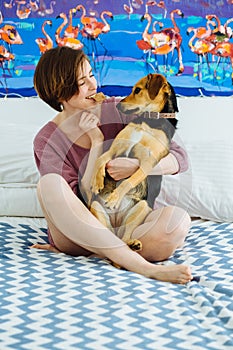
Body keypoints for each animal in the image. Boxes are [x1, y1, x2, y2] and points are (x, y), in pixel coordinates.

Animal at [88, 72, 177, 250]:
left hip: (143, 206)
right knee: (111, 238)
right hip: (96, 207)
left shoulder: (147, 164)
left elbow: (129, 181)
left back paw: (133, 243)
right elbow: (100, 159)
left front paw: (114, 198)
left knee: (124, 237)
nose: (117, 106)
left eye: (137, 90)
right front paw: (96, 182)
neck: (149, 121)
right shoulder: (114, 150)